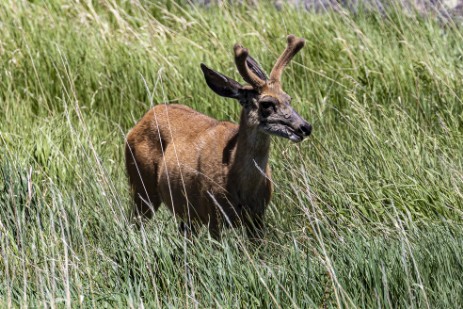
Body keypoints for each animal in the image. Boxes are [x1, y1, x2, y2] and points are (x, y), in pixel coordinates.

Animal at [126, 35, 312, 239]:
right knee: (133, 223)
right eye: (267, 103)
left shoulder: (257, 218)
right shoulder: (213, 213)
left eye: (289, 99)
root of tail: (141, 121)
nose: (305, 127)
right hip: (141, 185)